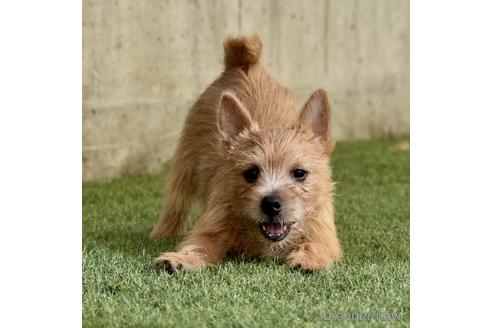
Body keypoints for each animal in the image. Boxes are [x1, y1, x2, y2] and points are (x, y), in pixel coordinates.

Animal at [151, 34, 342, 272]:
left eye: (299, 173)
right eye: (251, 173)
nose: (271, 203)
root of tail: (244, 64)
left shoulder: (323, 231)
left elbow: (318, 244)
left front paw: (309, 259)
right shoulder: (212, 226)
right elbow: (198, 245)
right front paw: (179, 258)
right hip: (186, 161)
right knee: (177, 202)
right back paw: (163, 232)